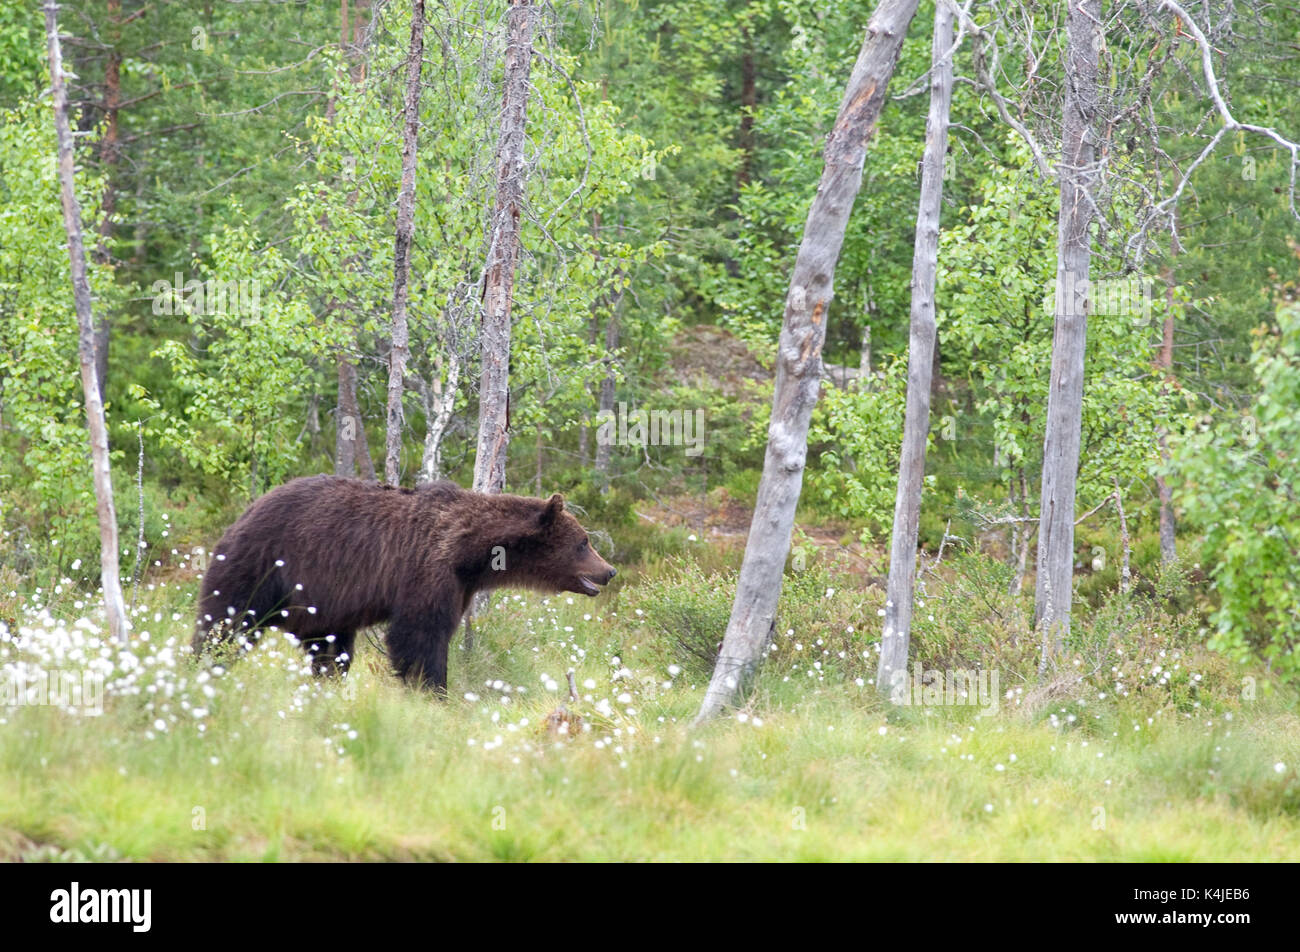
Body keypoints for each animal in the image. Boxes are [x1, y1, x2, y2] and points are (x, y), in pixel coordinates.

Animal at [195, 473, 616, 691]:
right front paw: (433, 690)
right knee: (226, 621)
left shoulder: (458, 586)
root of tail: (244, 513)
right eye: (584, 542)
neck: (471, 555)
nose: (609, 571)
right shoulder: (427, 570)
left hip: (318, 603)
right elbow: (419, 634)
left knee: (329, 648)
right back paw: (202, 665)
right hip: (262, 567)